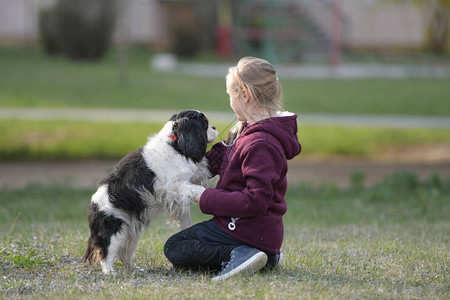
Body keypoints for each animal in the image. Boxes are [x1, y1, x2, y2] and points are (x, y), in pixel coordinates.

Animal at [84, 110, 220, 274]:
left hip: (132, 232)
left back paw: (135, 269)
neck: (175, 144)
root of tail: (93, 207)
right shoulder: (177, 186)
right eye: (205, 124)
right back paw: (109, 271)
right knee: (106, 252)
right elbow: (200, 189)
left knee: (125, 254)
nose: (214, 127)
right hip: (114, 230)